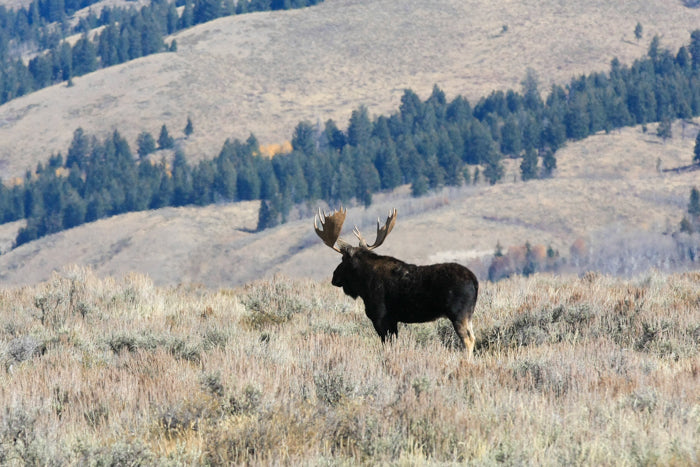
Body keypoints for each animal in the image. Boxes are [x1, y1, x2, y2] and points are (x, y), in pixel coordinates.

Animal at [314, 207, 478, 355]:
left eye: (343, 259)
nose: (334, 277)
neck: (363, 286)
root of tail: (475, 282)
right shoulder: (393, 320)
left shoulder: (380, 317)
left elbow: (386, 344)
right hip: (468, 315)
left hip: (458, 313)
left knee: (468, 340)